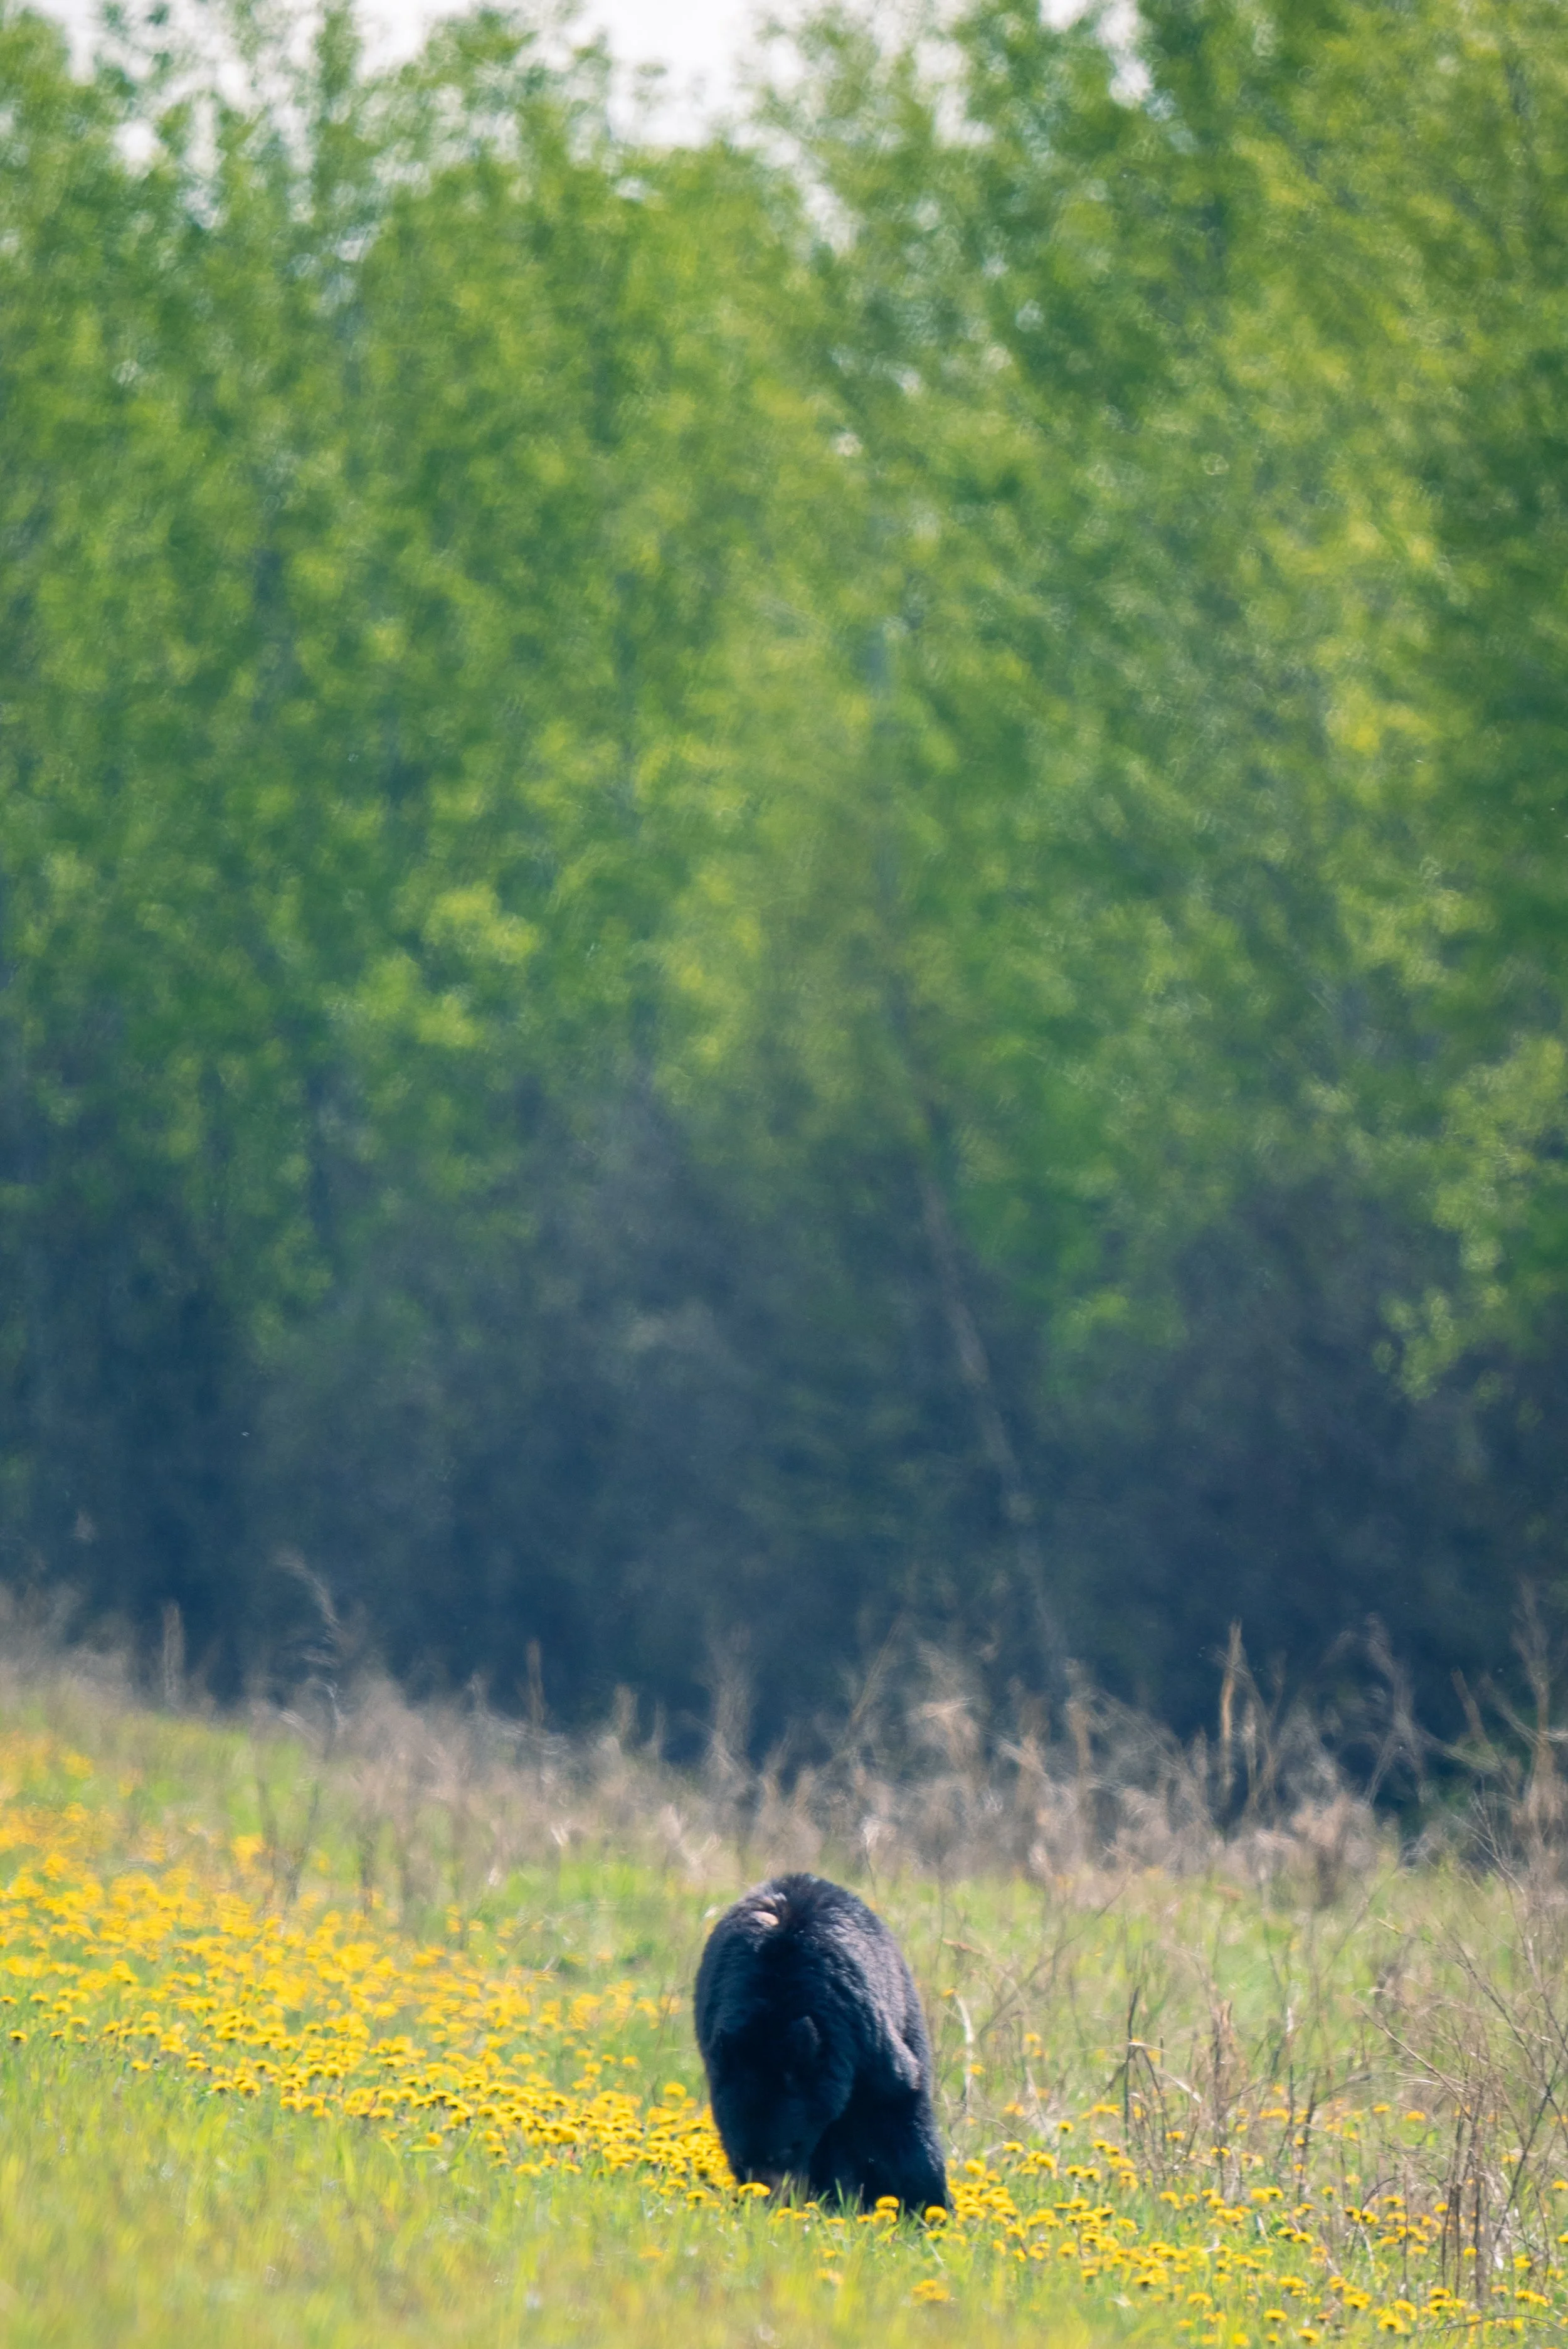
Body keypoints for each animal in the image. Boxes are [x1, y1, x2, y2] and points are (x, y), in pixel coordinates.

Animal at [694, 1872, 950, 2214]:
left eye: (789, 2148)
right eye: (740, 2158)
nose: (770, 2200)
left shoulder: (863, 2034)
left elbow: (897, 2107)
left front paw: (924, 2202)